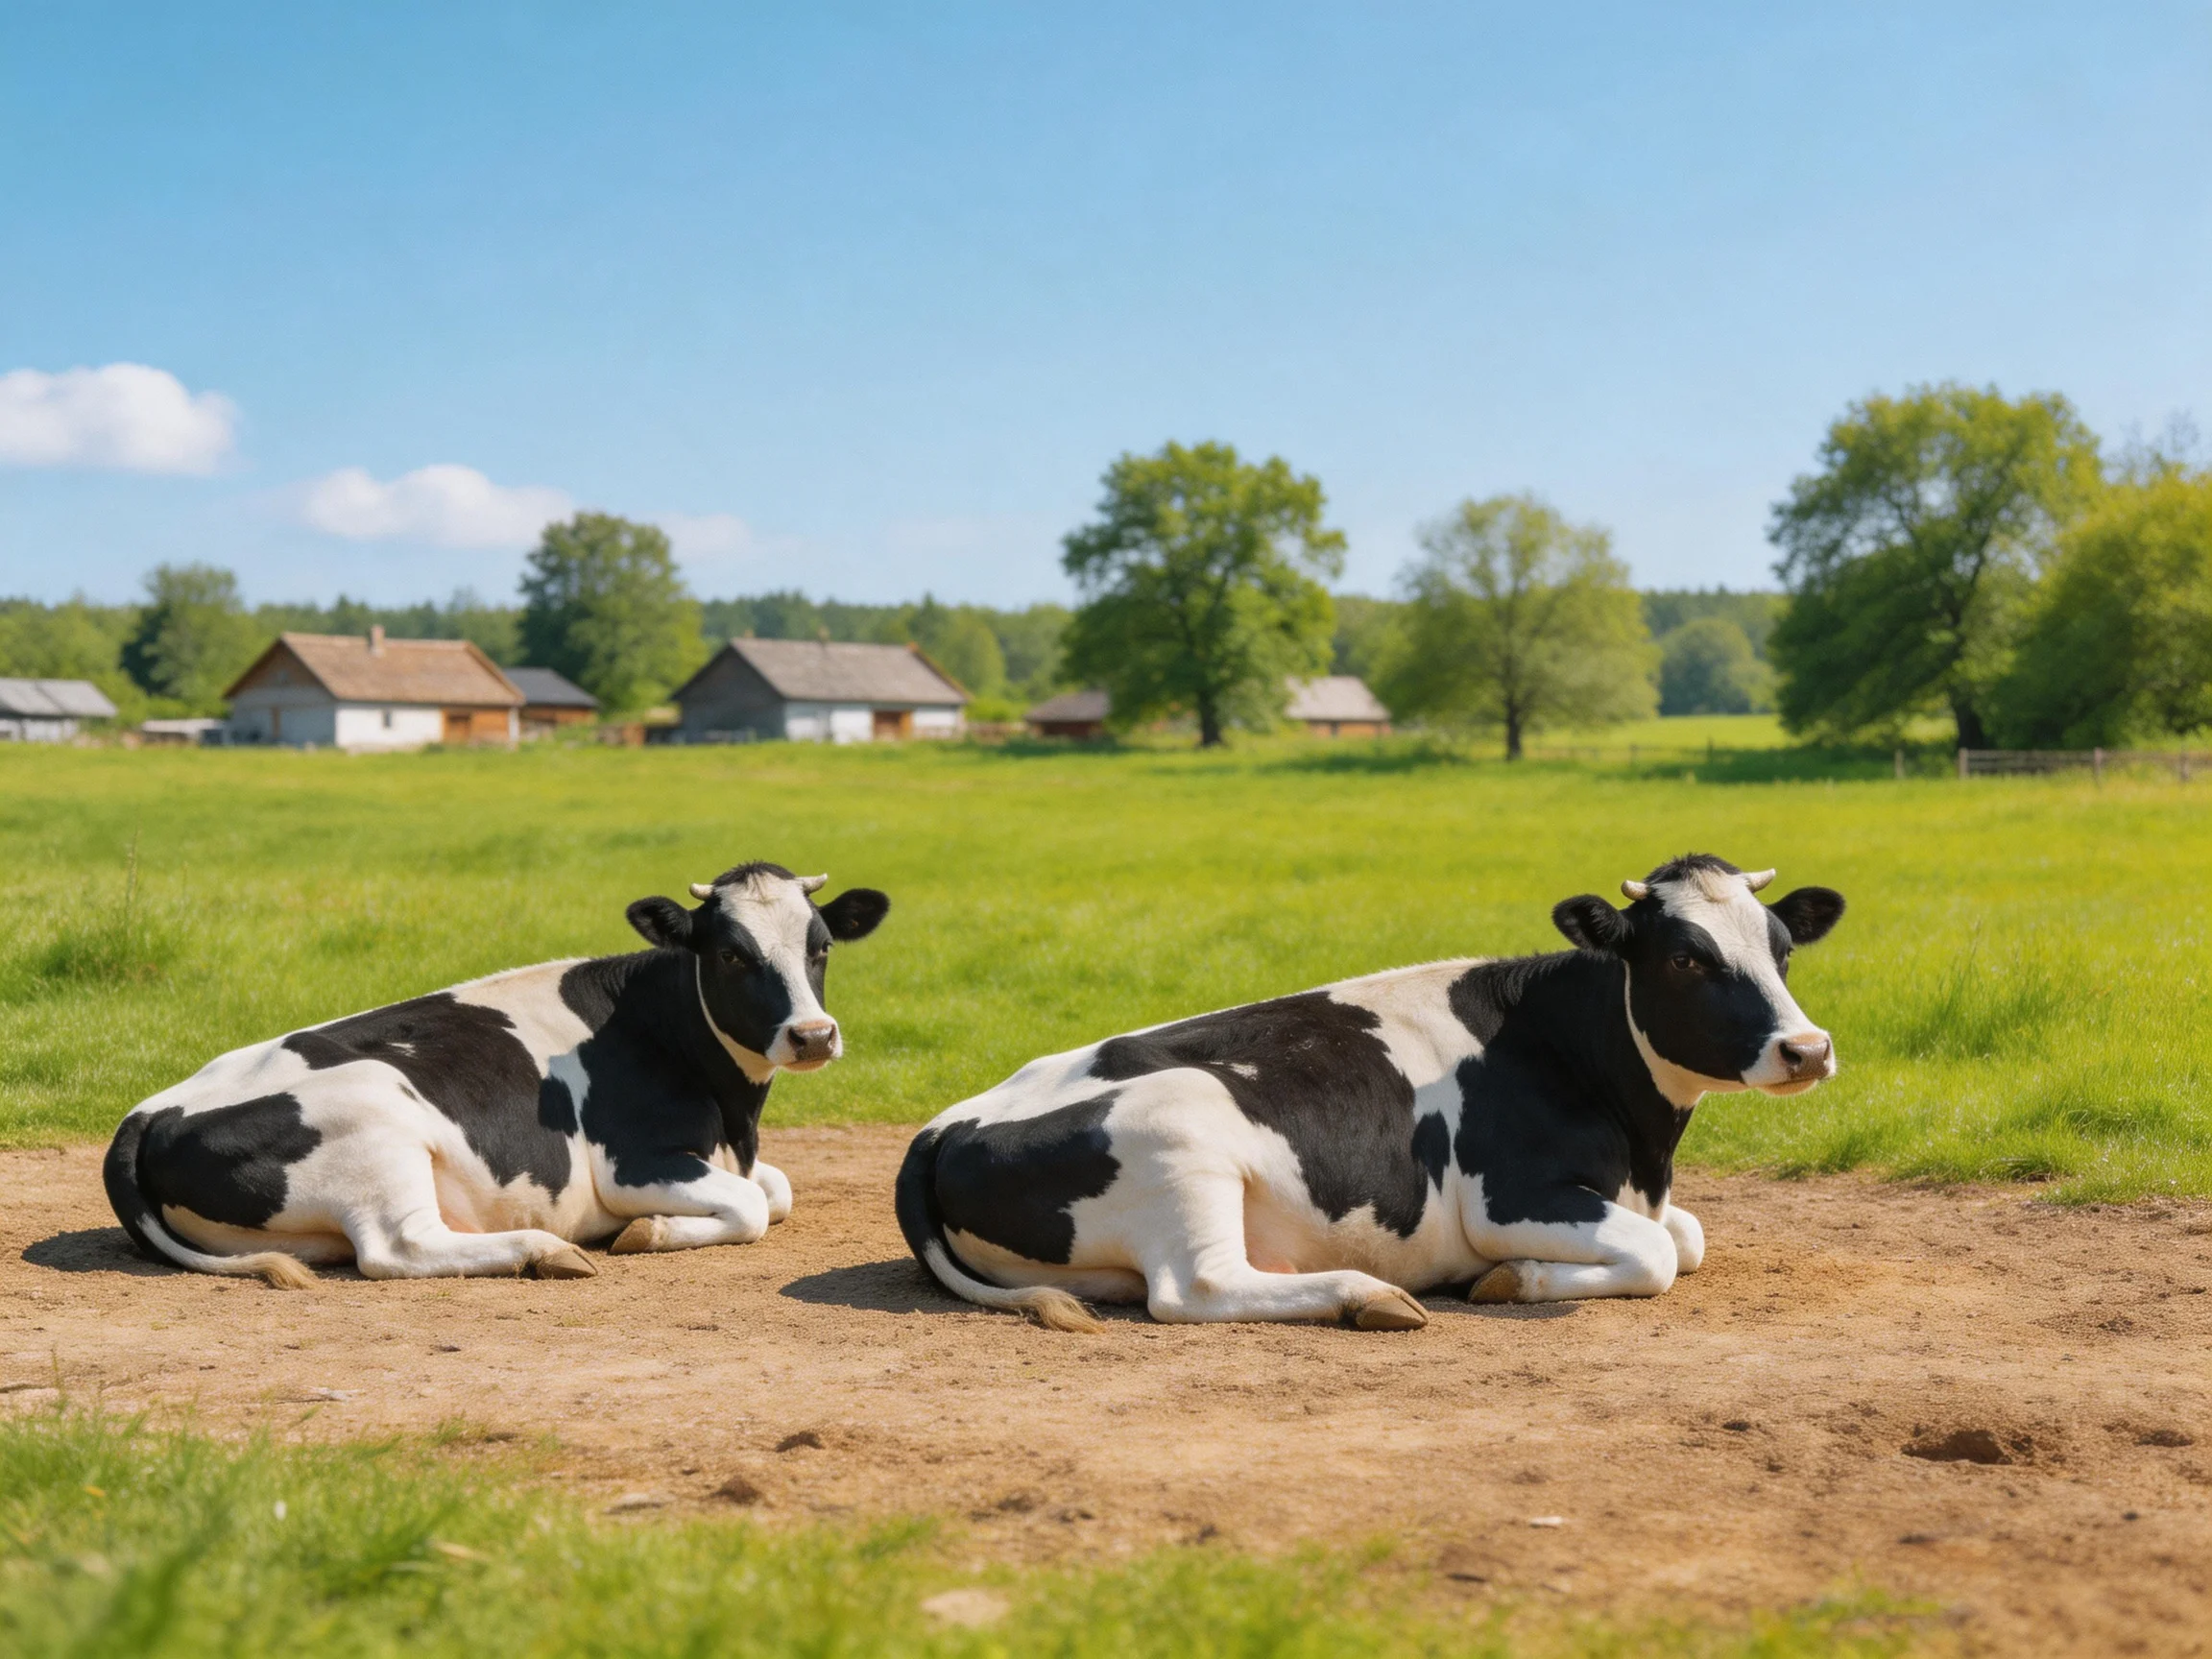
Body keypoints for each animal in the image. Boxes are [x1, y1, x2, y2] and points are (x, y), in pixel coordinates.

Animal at [103, 863, 889, 1287]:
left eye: (820, 946)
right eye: (730, 953)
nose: (813, 1035)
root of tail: (147, 1114)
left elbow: (777, 1190)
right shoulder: (632, 1164)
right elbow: (753, 1207)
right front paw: (647, 1232)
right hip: (377, 1120)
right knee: (396, 1249)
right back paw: (547, 1251)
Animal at [896, 854, 1843, 1332]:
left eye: (1784, 949)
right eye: (1685, 957)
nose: (1808, 1049)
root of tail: (941, 1128)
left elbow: (1687, 1237)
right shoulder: (1507, 1198)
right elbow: (1656, 1256)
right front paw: (1510, 1280)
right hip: (1183, 1134)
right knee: (1193, 1289)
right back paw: (1368, 1294)